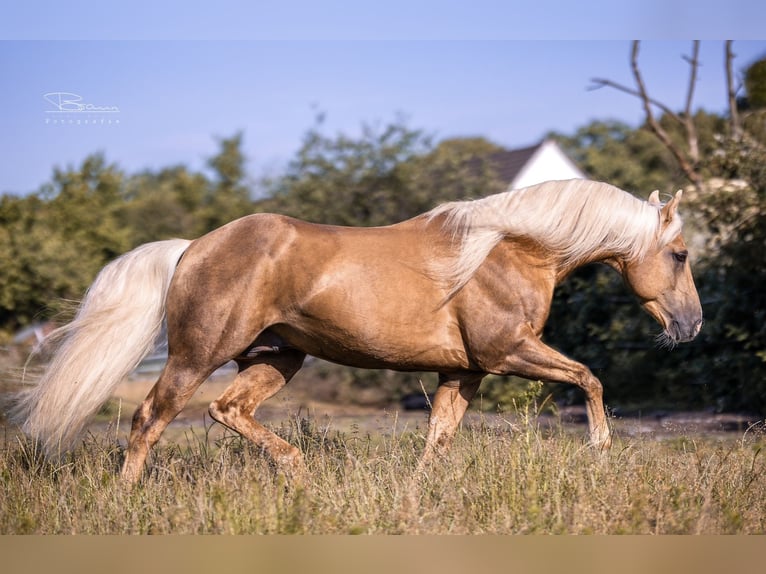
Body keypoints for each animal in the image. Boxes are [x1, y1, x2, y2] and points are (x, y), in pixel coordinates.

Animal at [11, 179, 703, 483]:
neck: (508, 250)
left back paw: (295, 469)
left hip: (276, 358)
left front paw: (420, 494)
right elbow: (590, 378)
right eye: (680, 255)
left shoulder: (466, 370)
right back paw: (128, 495)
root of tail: (191, 248)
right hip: (199, 353)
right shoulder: (508, 353)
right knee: (149, 418)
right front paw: (600, 450)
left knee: (228, 411)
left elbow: (439, 438)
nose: (692, 324)